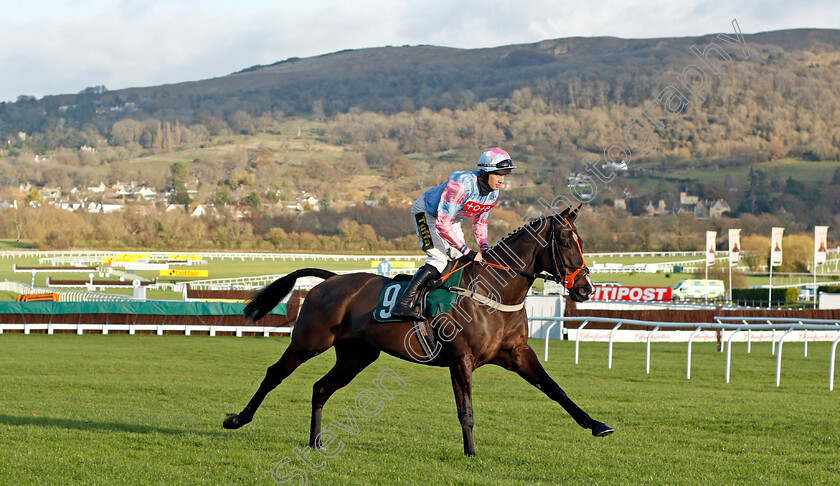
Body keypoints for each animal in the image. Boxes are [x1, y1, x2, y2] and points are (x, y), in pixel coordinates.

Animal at [225, 204, 616, 456]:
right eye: (564, 242)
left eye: (581, 241)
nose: (586, 289)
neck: (493, 292)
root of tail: (332, 279)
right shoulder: (461, 359)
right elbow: (466, 411)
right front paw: (471, 453)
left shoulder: (517, 353)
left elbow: (555, 389)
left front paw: (597, 424)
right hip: (309, 341)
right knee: (274, 374)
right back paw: (238, 419)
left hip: (356, 356)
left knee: (320, 388)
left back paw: (316, 442)